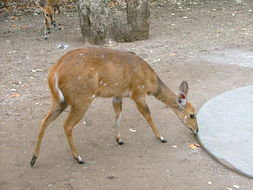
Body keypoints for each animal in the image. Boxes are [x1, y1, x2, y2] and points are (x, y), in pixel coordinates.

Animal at [30, 47, 198, 166]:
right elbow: (147, 114)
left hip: (60, 100)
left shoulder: (118, 96)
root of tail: (54, 71)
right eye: (192, 114)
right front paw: (162, 137)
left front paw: (119, 140)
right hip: (82, 99)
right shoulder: (138, 93)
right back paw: (79, 158)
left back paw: (33, 159)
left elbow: (118, 114)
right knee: (67, 125)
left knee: (44, 120)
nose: (196, 130)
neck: (151, 81)